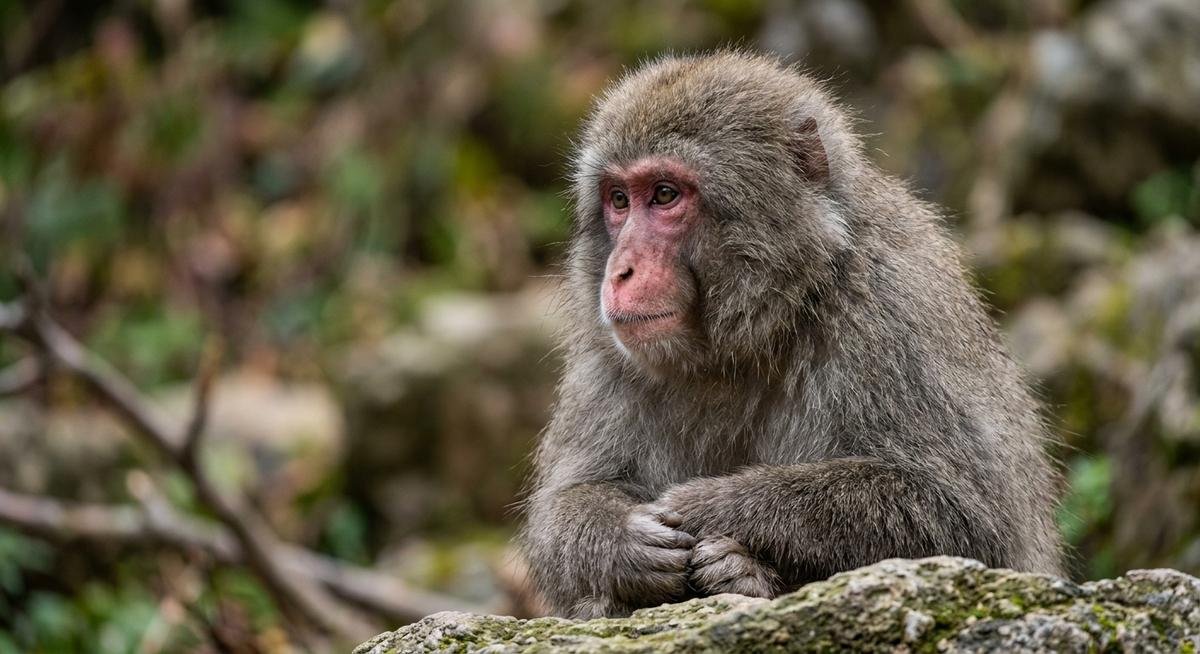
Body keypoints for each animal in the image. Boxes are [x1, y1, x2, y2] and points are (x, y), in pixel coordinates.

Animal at [520, 51, 1063, 619]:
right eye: (620, 200)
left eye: (665, 195)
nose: (620, 270)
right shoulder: (605, 352)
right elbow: (562, 506)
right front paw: (621, 538)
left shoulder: (894, 313)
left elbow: (964, 515)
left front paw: (709, 506)